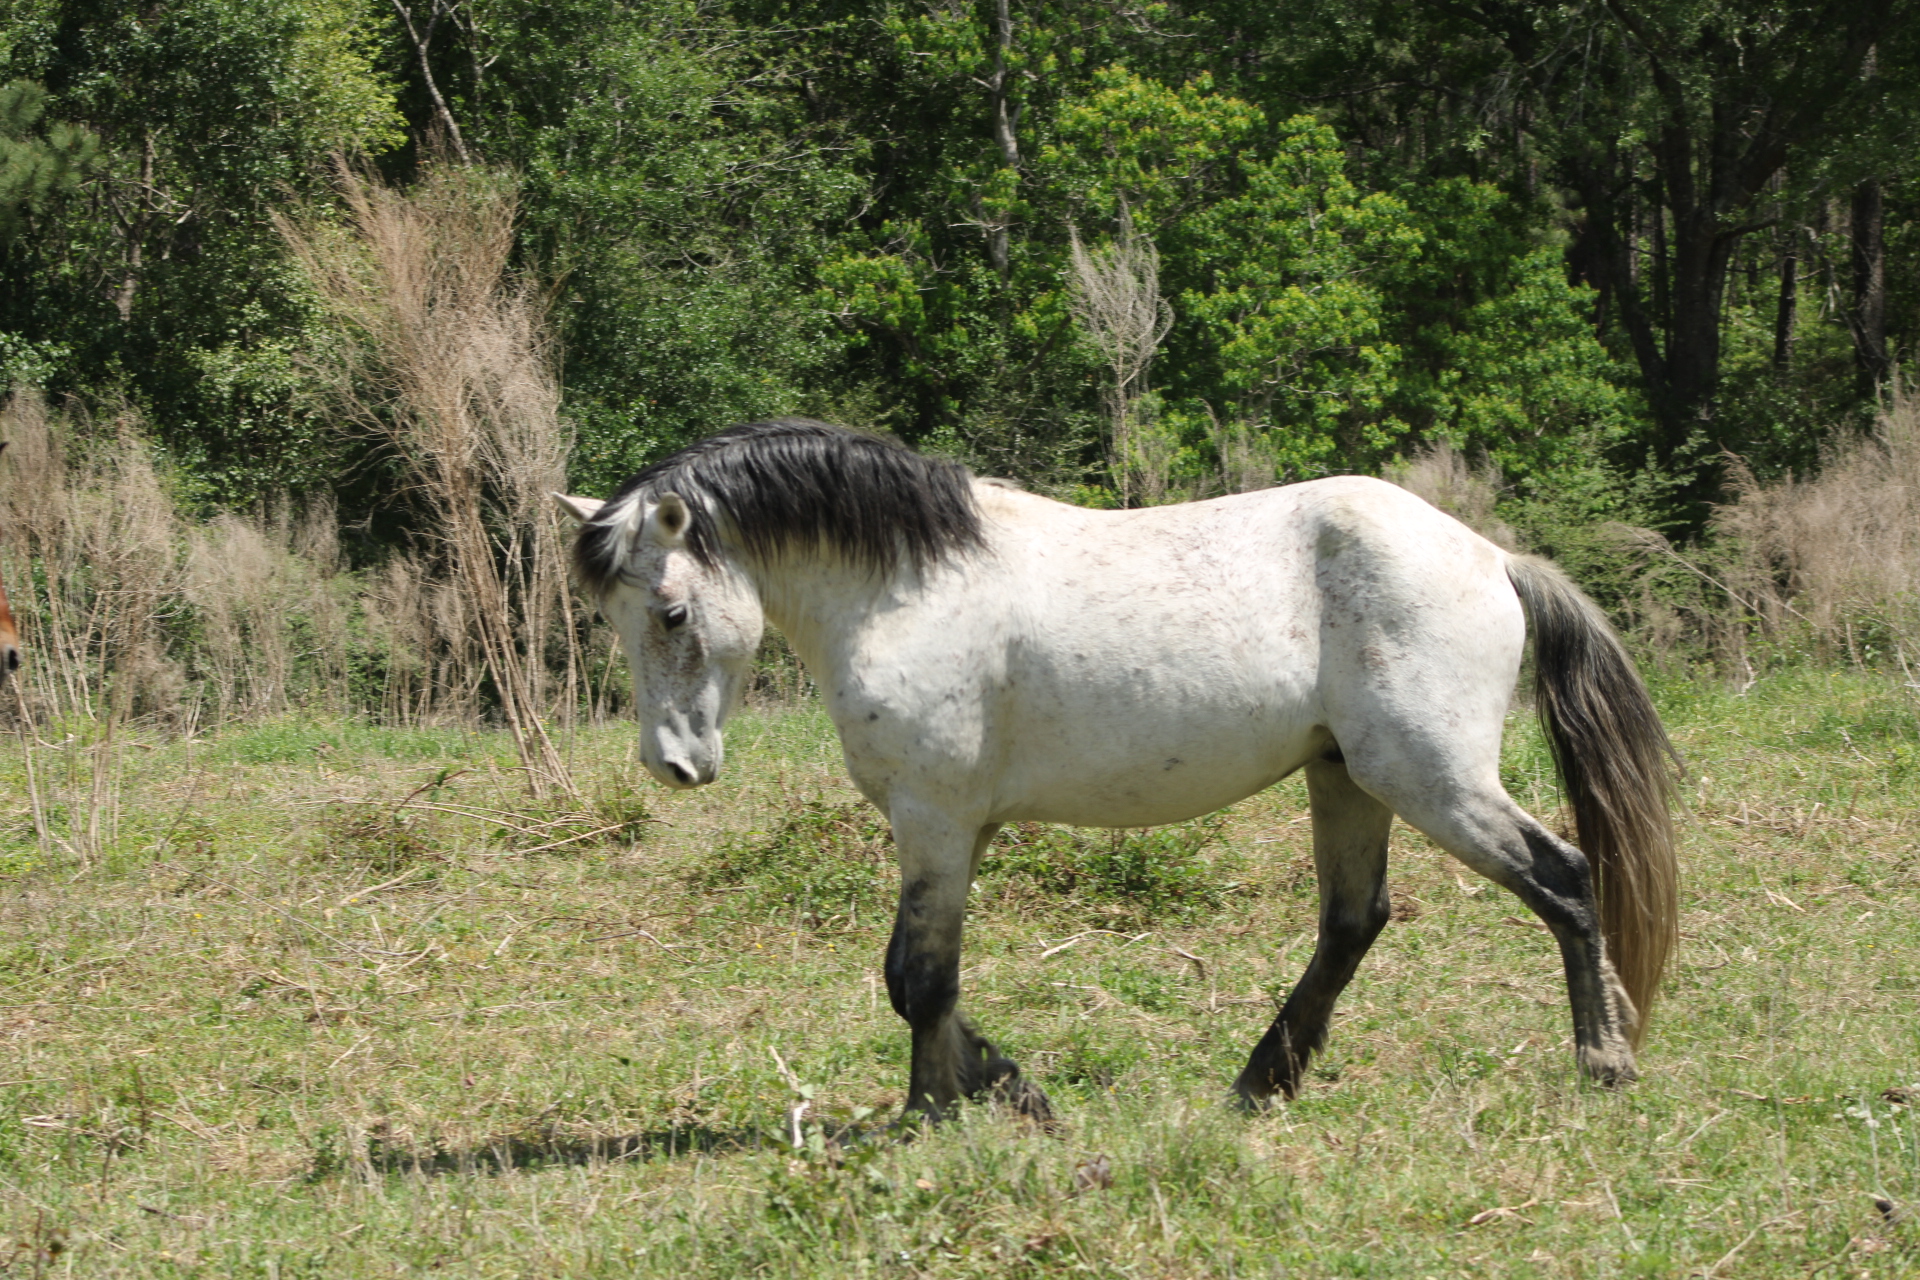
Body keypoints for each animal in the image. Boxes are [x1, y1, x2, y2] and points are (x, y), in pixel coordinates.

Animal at [558, 419, 1677, 1122]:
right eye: (610, 613)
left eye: (671, 612)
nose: (673, 764)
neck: (909, 588)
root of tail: (1492, 559)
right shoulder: (955, 831)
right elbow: (925, 982)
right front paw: (994, 1089)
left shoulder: (935, 820)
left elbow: (917, 979)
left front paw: (943, 1110)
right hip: (1348, 778)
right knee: (1354, 922)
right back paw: (1259, 1083)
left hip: (1432, 779)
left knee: (1565, 879)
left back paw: (1606, 1061)